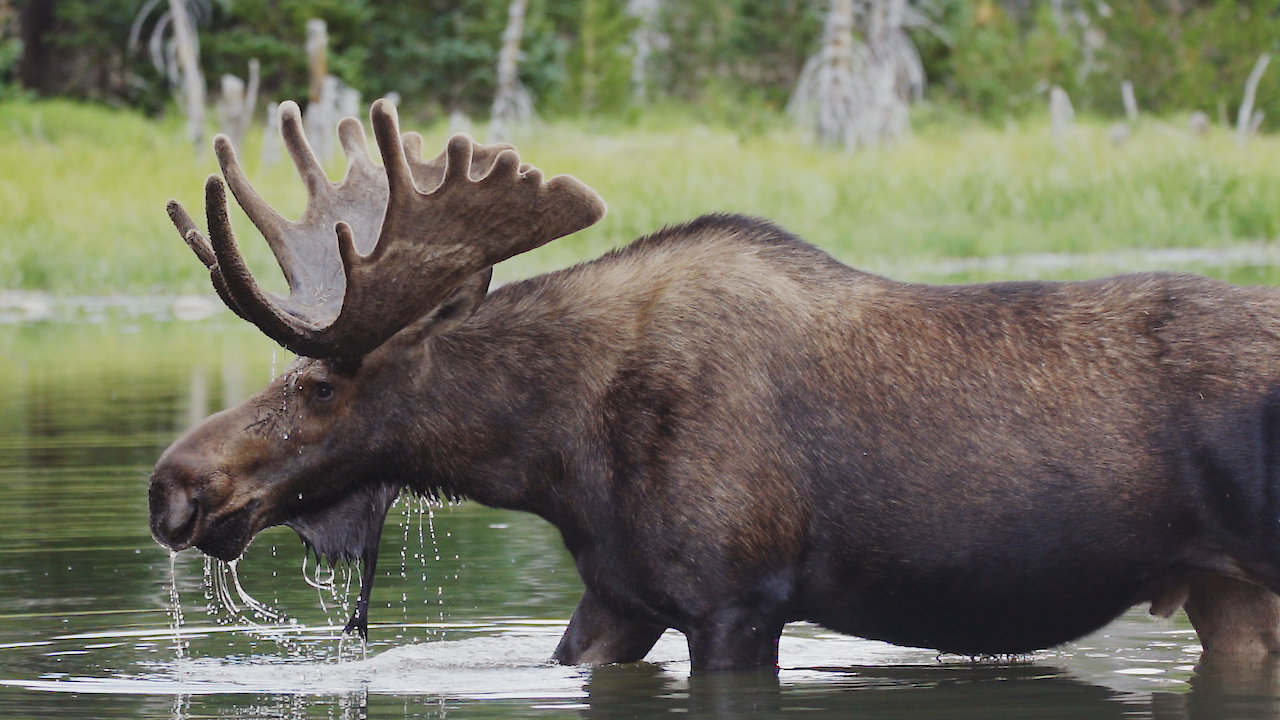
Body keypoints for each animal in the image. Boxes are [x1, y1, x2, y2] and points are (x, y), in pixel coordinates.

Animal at [150, 99, 1280, 673]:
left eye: (320, 384)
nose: (172, 485)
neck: (549, 457)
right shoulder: (619, 596)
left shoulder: (737, 600)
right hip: (1223, 589)